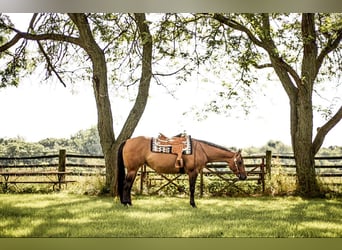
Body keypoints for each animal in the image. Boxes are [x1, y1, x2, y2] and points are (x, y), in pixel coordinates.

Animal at [116, 135, 247, 207]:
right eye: (240, 162)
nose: (244, 176)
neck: (201, 150)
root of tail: (127, 141)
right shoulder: (193, 172)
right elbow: (192, 189)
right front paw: (193, 204)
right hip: (132, 169)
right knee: (126, 185)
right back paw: (126, 203)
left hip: (134, 169)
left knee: (128, 185)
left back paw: (128, 203)